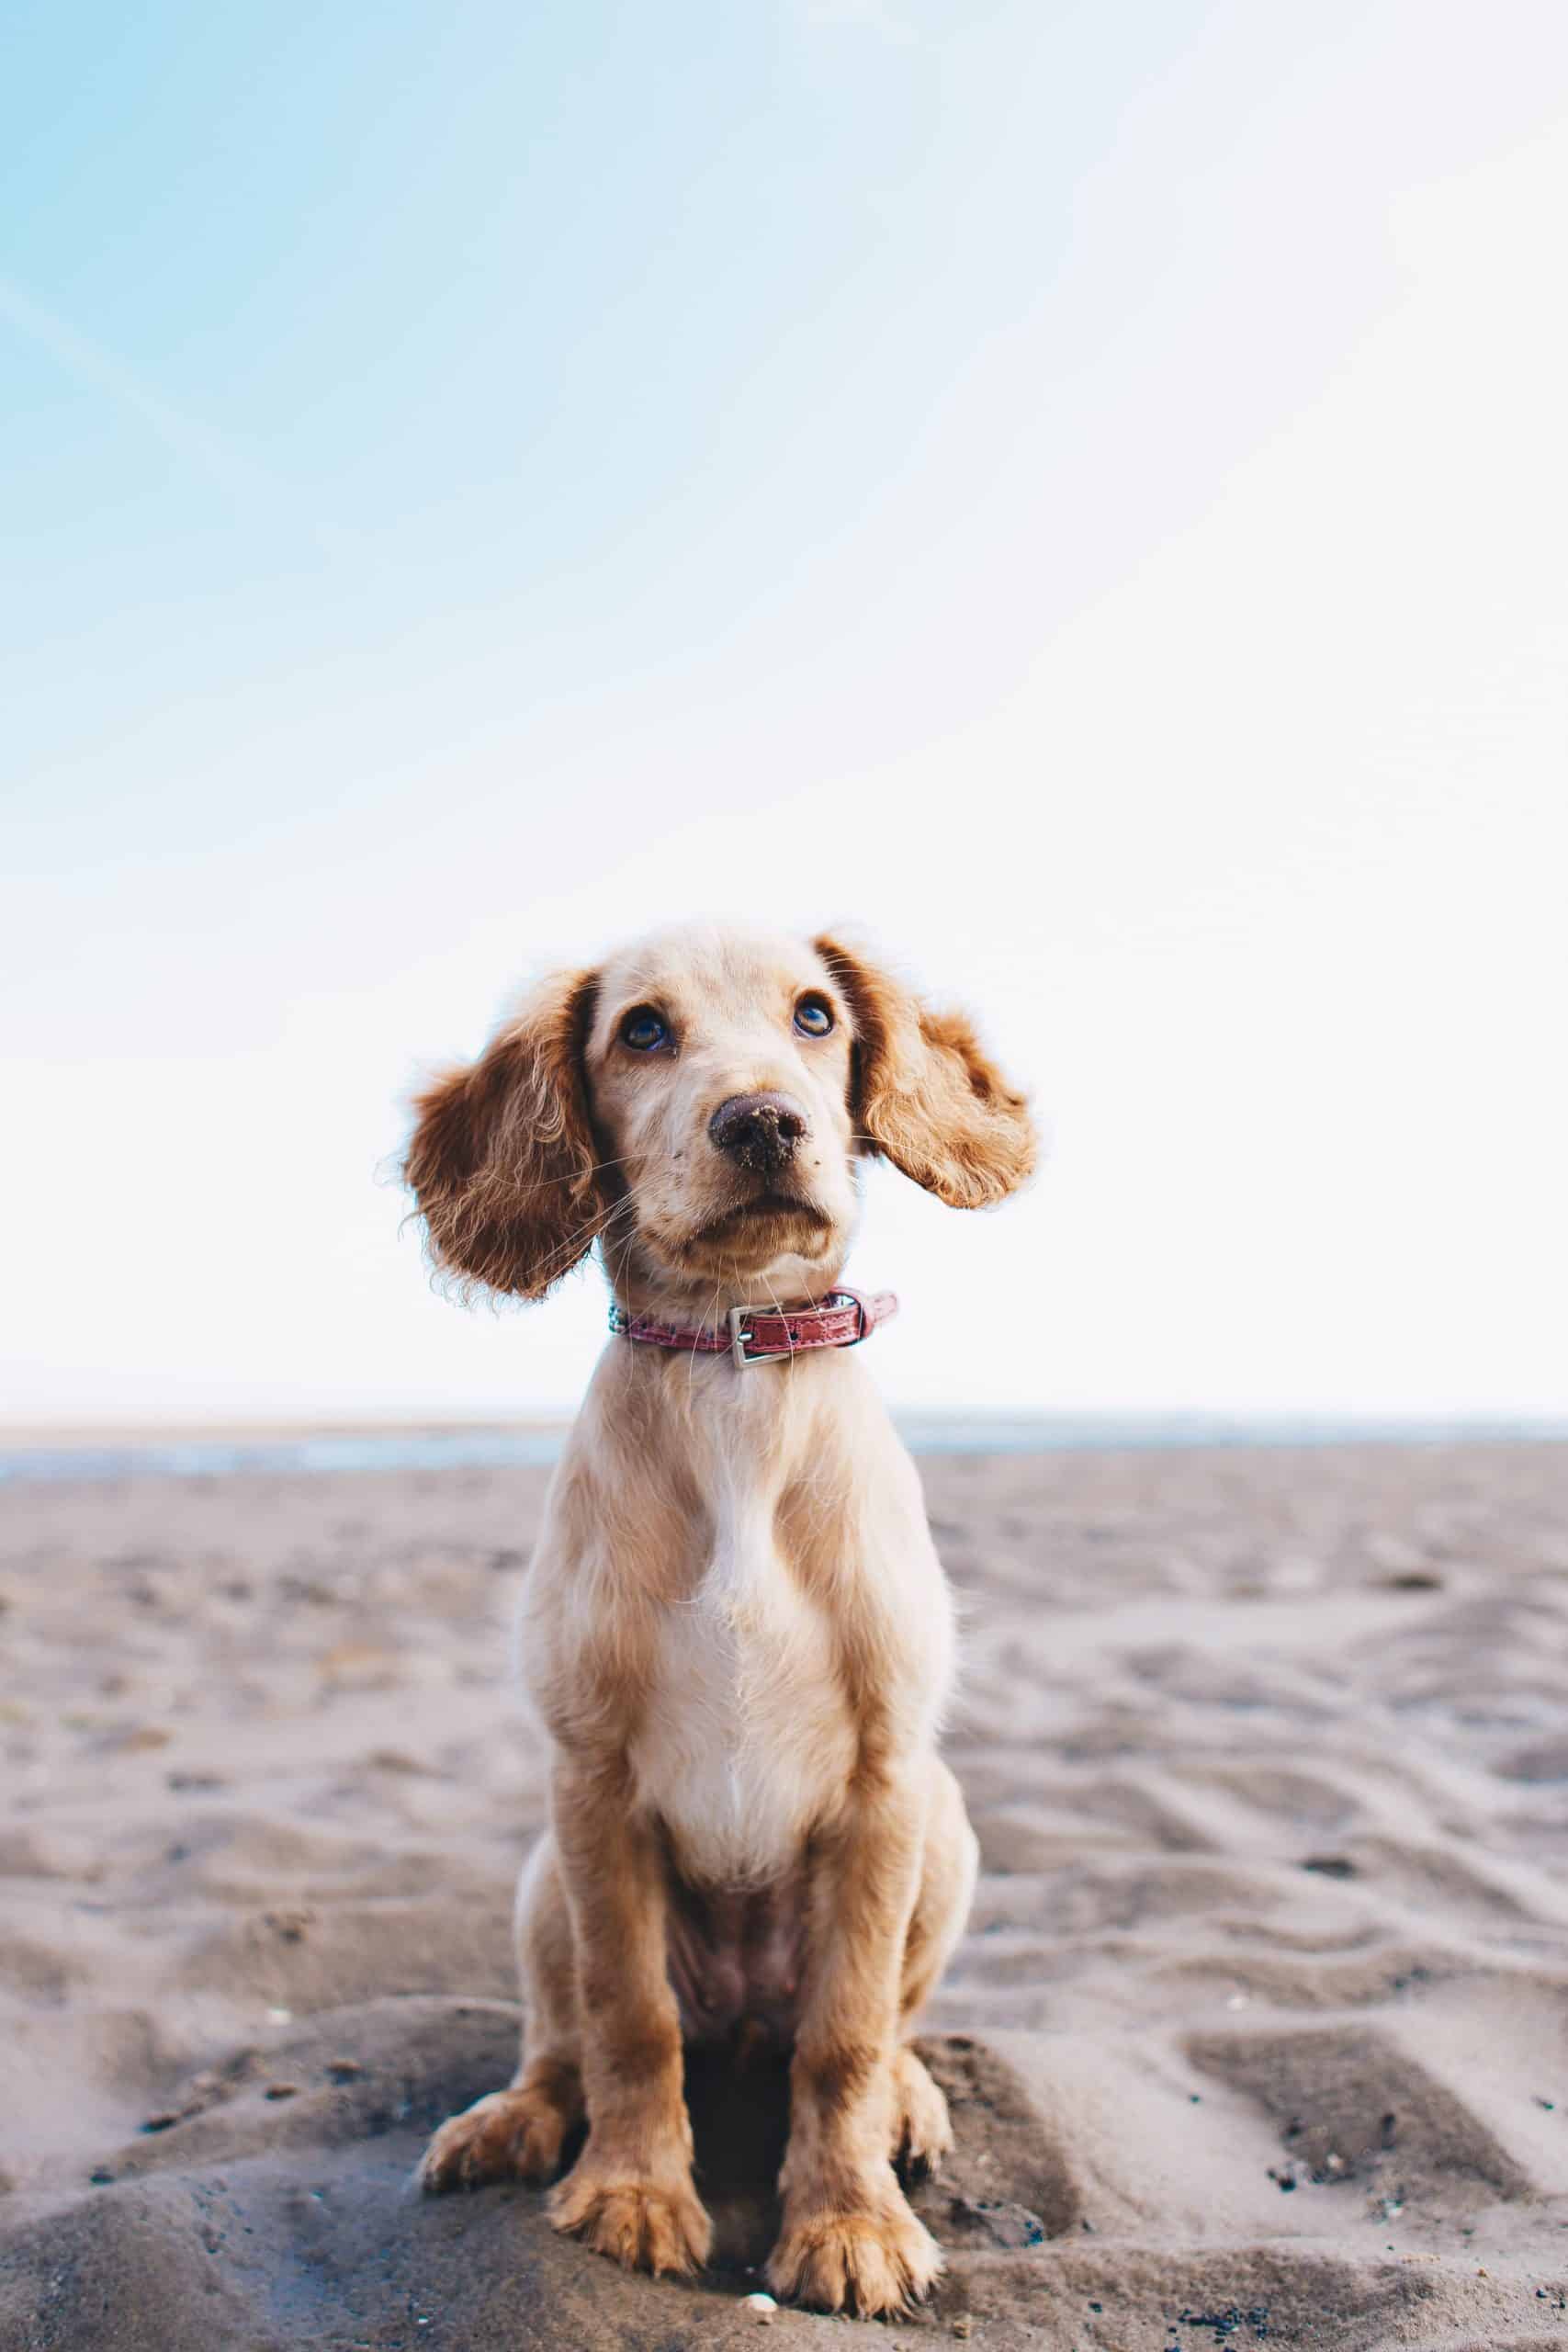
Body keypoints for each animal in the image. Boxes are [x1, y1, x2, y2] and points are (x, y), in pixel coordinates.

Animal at [411, 922, 1034, 2314]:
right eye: (642, 1031)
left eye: (814, 1016)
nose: (762, 1123)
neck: (733, 1371)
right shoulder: (590, 1780)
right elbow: (627, 2016)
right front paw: (633, 2192)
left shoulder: (885, 1782)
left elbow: (845, 2036)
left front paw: (848, 2222)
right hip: (543, 1876)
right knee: (563, 2035)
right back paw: (514, 2118)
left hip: (949, 1831)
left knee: (880, 2026)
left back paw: (908, 2103)